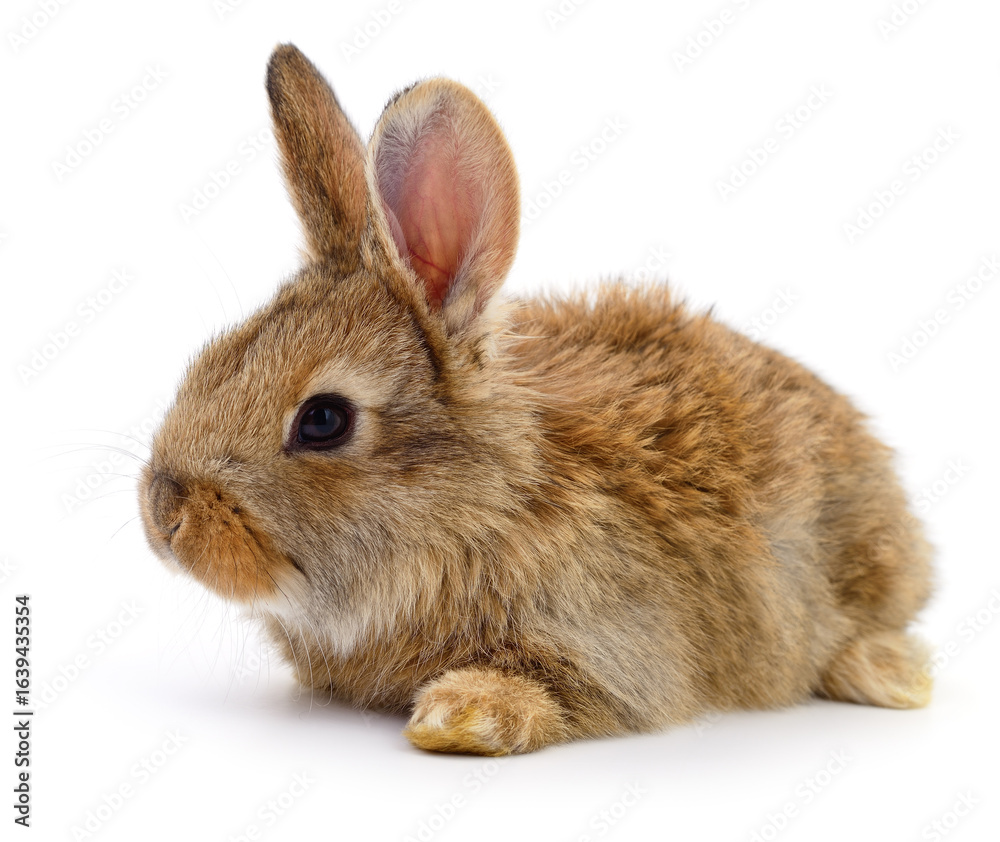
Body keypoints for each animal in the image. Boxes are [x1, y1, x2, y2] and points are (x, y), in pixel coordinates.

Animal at [139, 43, 934, 756]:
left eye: (324, 420)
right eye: (208, 360)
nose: (163, 517)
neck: (481, 508)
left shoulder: (616, 646)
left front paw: (457, 717)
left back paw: (894, 677)